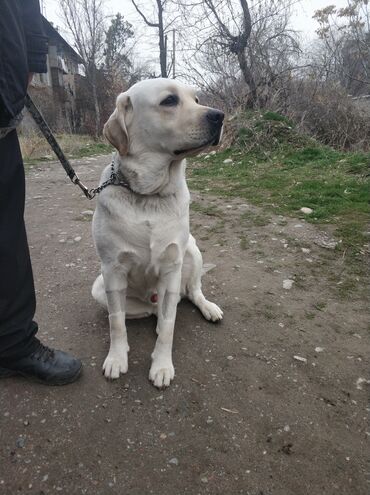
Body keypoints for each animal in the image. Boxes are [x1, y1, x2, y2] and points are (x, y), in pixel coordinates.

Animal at [92, 77, 225, 390]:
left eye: (197, 99)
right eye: (169, 101)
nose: (220, 116)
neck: (149, 195)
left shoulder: (171, 267)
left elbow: (168, 326)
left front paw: (162, 366)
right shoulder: (112, 270)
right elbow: (116, 322)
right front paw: (117, 358)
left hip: (192, 250)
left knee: (190, 293)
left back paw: (208, 307)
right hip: (99, 287)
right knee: (145, 312)